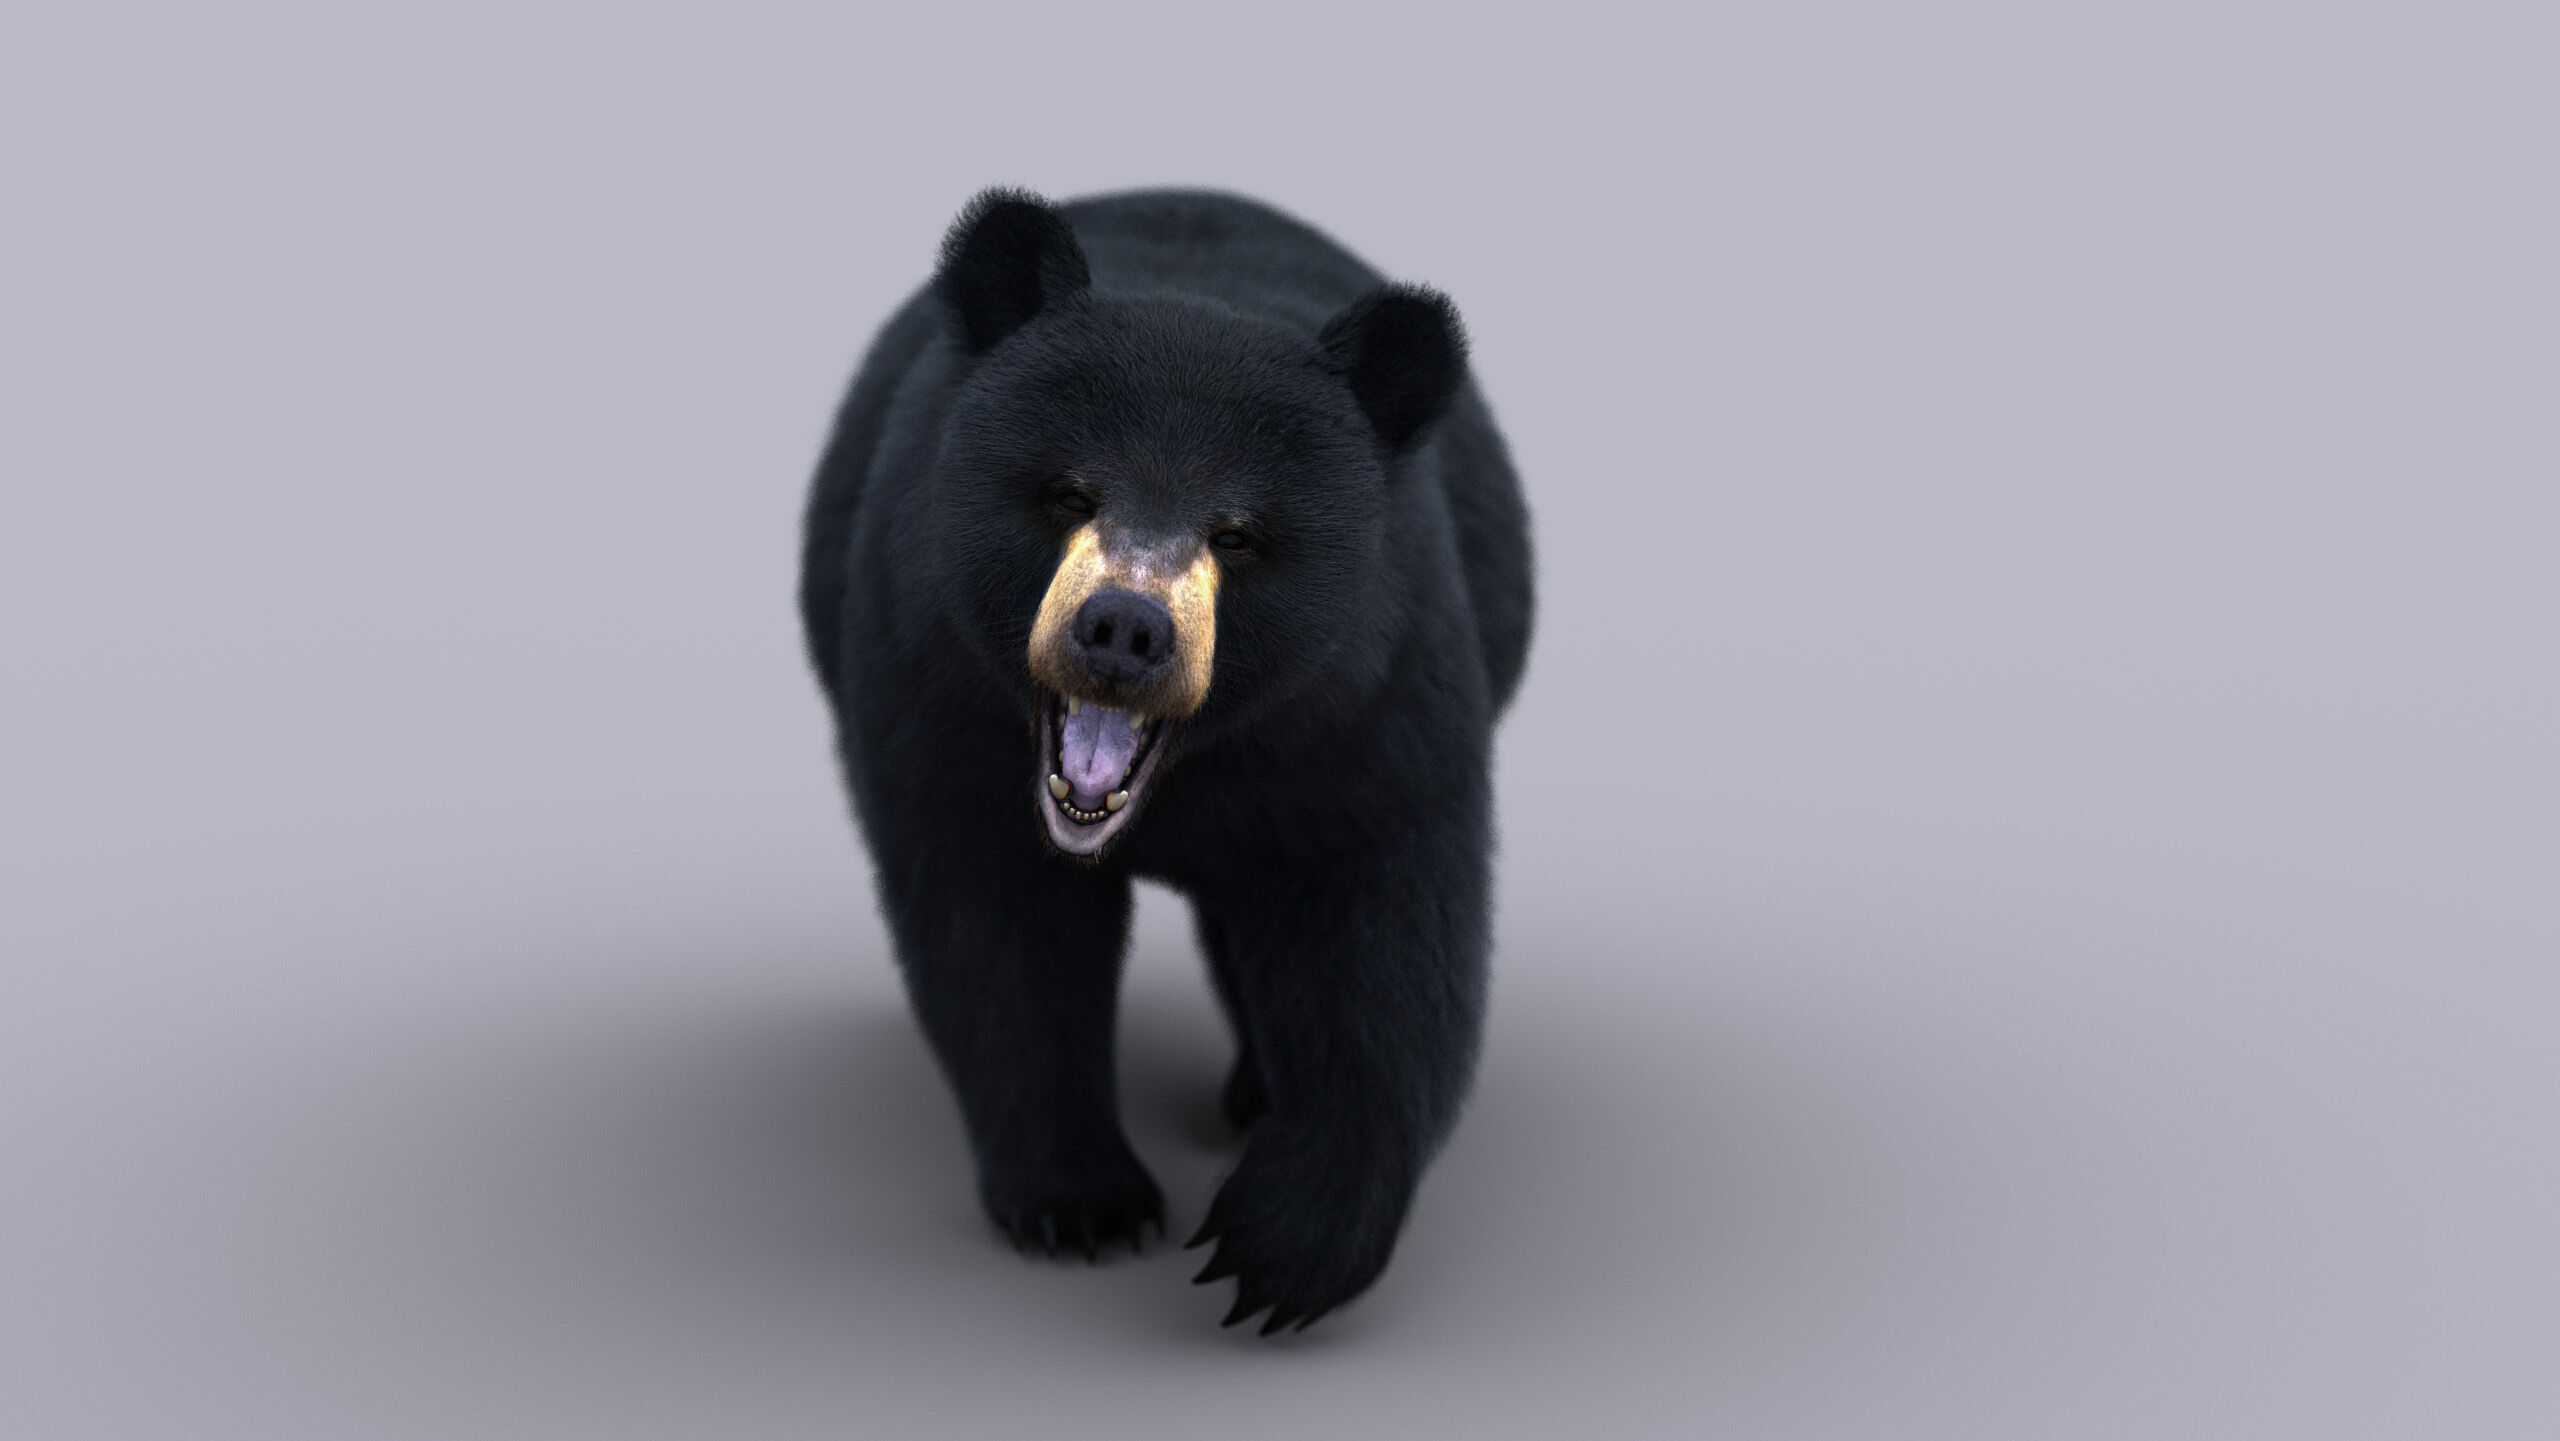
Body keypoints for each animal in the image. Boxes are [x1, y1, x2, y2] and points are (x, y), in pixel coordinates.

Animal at [798, 187, 1532, 1333]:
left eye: (1237, 533)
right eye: (1068, 491)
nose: (1123, 630)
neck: (1197, 768)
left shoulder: (1368, 697)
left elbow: (1380, 925)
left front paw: (1279, 1247)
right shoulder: (936, 683)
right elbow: (998, 926)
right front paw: (1081, 1204)